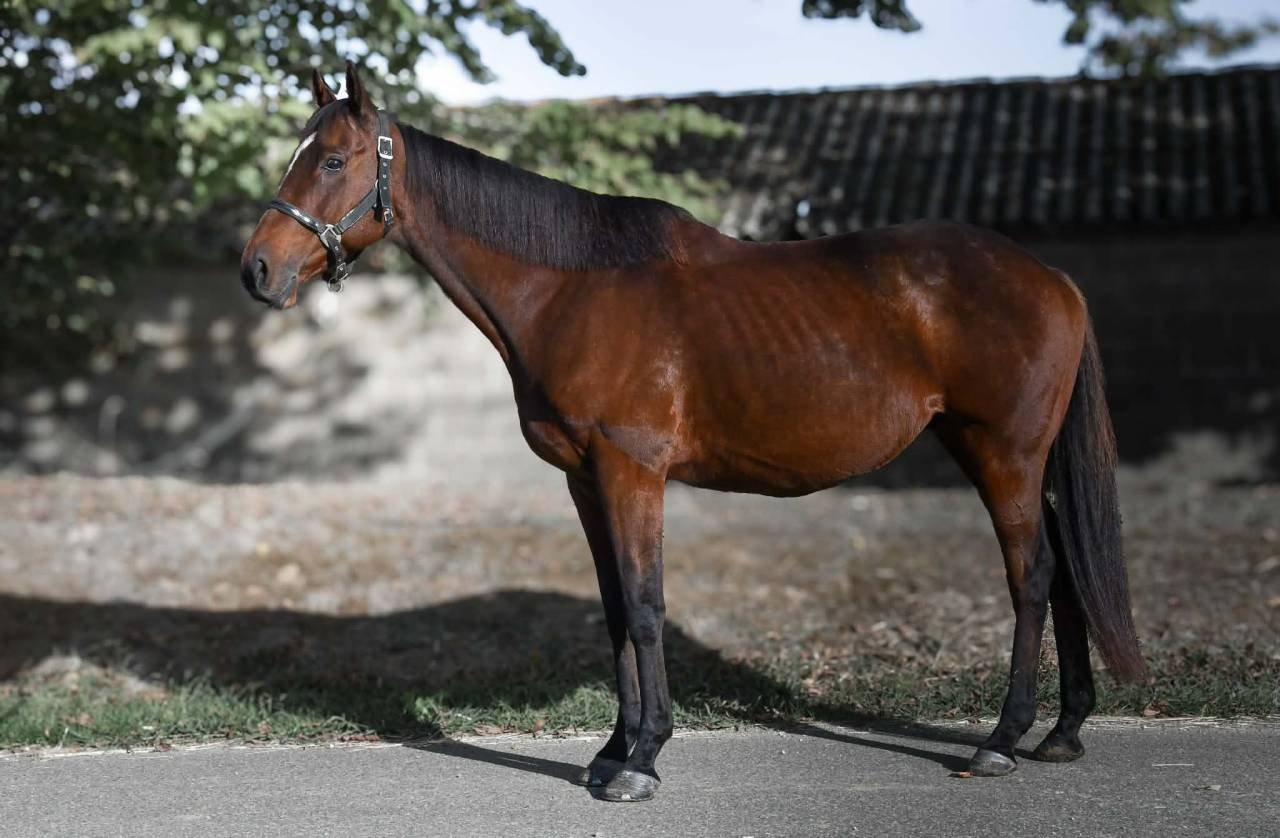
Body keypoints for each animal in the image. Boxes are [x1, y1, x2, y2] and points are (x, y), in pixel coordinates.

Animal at [241, 62, 1144, 802]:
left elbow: (645, 606)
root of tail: (1050, 275)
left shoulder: (631, 471)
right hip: (997, 450)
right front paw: (611, 750)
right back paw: (1063, 732)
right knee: (1064, 567)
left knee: (1032, 575)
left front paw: (642, 760)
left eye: (332, 161)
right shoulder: (584, 479)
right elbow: (613, 610)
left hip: (1003, 453)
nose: (257, 269)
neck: (571, 290)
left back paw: (1001, 740)